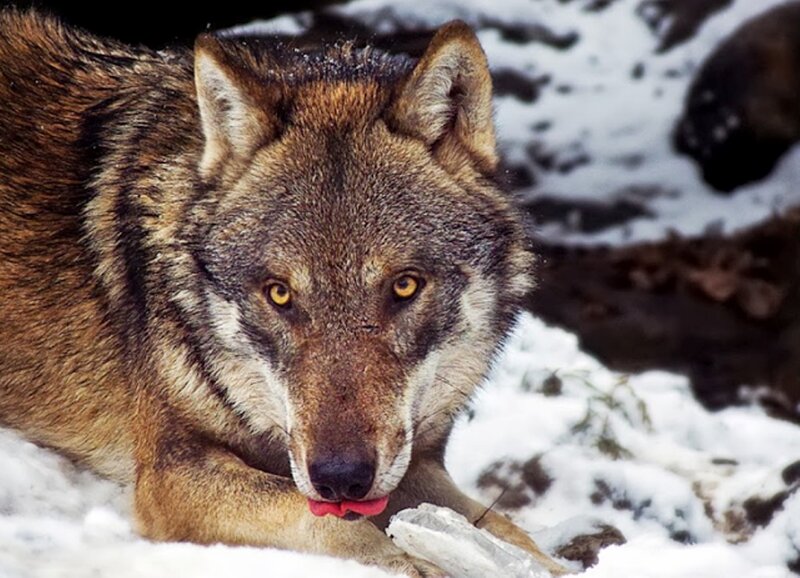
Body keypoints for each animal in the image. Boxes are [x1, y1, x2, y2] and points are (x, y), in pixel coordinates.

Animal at [0, 9, 566, 576]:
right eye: (279, 294)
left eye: (404, 285)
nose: (340, 477)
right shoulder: (172, 473)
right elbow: (331, 524)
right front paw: (416, 562)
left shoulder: (412, 464)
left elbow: (506, 529)